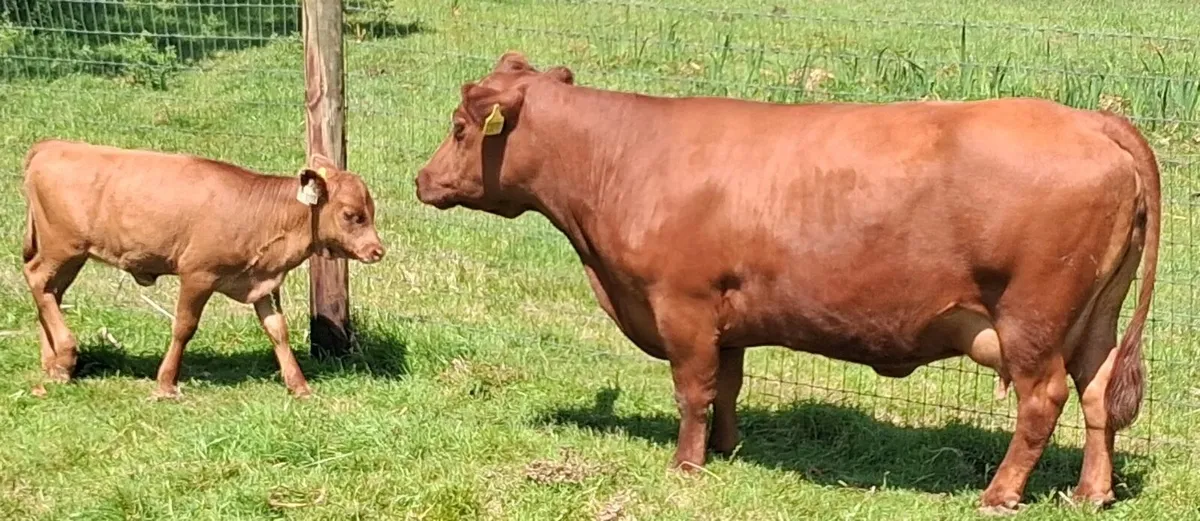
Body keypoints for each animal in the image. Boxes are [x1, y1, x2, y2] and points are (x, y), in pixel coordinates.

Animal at [22, 140, 385, 399]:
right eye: (352, 215)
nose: (377, 250)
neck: (264, 216)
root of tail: (50, 145)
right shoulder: (197, 275)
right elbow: (184, 327)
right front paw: (166, 384)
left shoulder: (264, 283)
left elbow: (277, 331)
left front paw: (299, 386)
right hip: (61, 247)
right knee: (38, 280)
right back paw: (65, 354)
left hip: (71, 256)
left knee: (51, 292)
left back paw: (53, 365)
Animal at [415, 52, 1161, 513]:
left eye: (458, 127)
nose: (421, 179)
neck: (621, 158)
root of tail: (1091, 117)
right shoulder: (727, 317)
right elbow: (727, 385)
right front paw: (727, 449)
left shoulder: (681, 304)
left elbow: (692, 390)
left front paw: (685, 467)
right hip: (1095, 314)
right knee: (1098, 393)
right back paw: (1092, 493)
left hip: (1032, 317)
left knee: (1044, 399)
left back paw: (1000, 494)